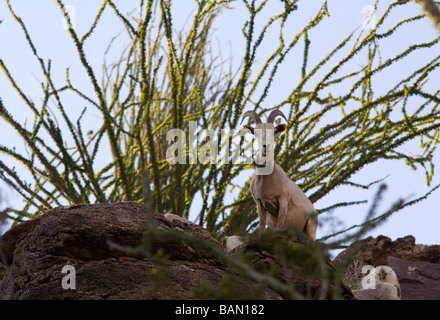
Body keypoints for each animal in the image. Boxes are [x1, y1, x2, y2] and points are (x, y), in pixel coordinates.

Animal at [242, 109, 318, 240]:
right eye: (256, 133)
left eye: (274, 132)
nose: (265, 146)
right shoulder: (260, 203)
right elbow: (262, 226)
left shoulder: (282, 201)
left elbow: (280, 225)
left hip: (310, 228)